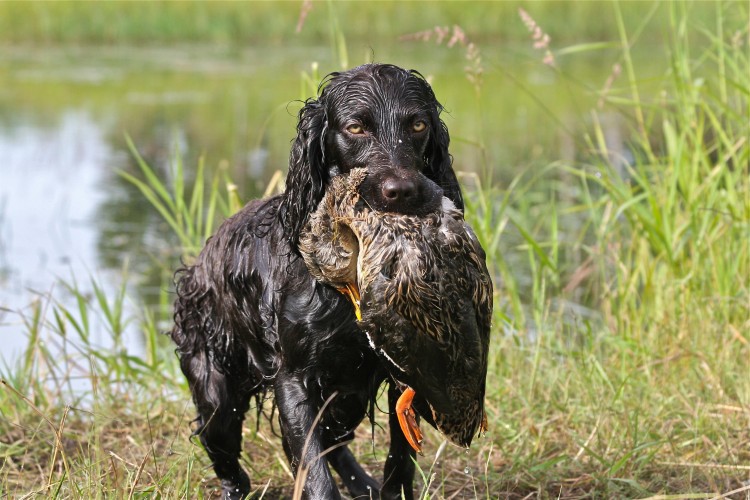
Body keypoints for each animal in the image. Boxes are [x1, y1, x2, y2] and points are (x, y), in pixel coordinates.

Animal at [173, 63, 464, 500]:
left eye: (417, 124)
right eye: (356, 127)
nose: (401, 191)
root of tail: (199, 265)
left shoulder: (401, 374)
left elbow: (399, 459)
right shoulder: (294, 380)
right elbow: (314, 471)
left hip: (342, 398)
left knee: (334, 444)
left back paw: (362, 485)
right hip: (216, 394)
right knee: (232, 467)